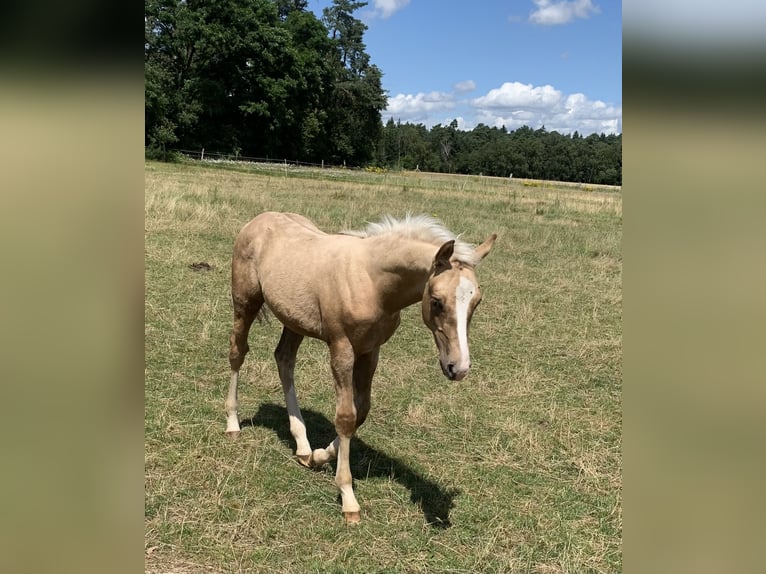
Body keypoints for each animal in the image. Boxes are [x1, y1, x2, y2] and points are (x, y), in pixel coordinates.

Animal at [225, 213, 498, 528]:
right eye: (437, 301)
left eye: (476, 301)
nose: (459, 367)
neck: (371, 281)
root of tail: (259, 219)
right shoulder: (342, 349)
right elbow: (345, 417)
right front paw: (348, 497)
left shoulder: (370, 350)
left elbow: (361, 410)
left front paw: (319, 456)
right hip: (245, 302)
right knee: (237, 352)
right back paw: (233, 423)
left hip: (294, 319)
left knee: (284, 359)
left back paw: (303, 446)